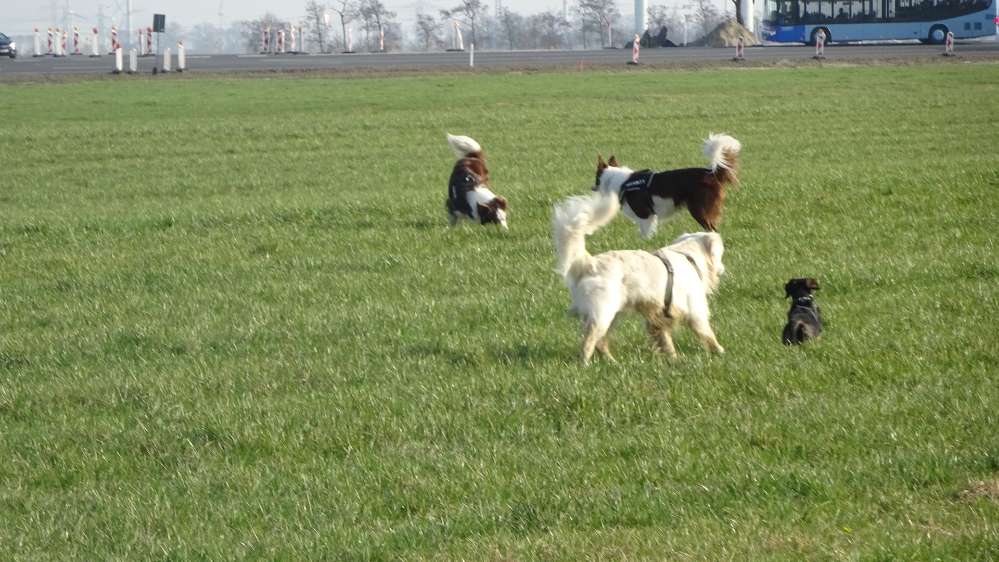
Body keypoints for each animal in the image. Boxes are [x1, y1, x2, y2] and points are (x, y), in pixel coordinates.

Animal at [556, 191, 728, 364]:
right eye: (721, 254)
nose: (723, 268)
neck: (688, 256)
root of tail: (589, 263)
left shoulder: (657, 317)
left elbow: (665, 340)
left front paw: (673, 358)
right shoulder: (696, 309)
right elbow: (707, 334)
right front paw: (719, 351)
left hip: (613, 315)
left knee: (600, 342)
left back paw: (612, 362)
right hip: (602, 313)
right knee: (589, 341)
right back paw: (585, 364)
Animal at [592, 134, 744, 238]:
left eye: (596, 179)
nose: (592, 188)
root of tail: (711, 173)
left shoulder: (645, 215)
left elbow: (644, 234)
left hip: (698, 209)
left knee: (712, 229)